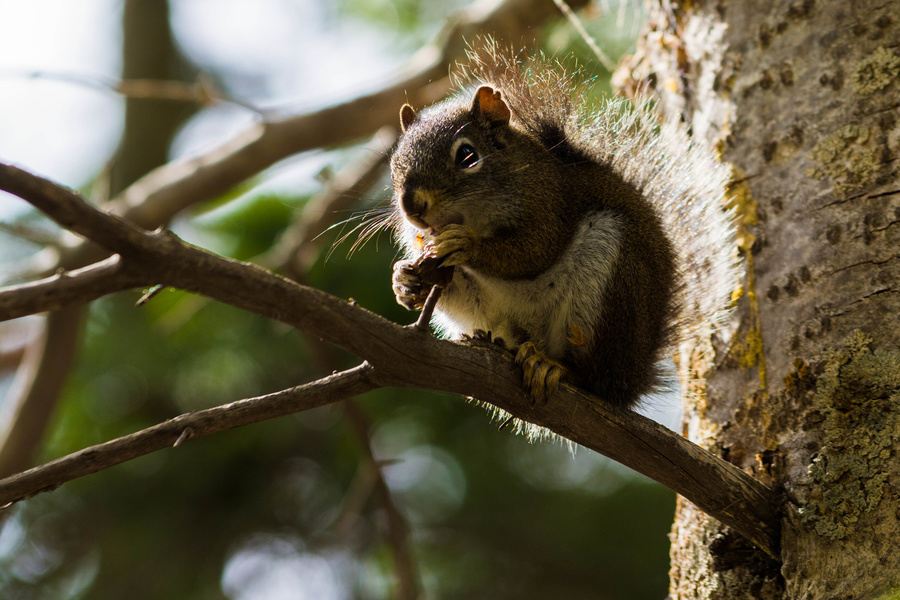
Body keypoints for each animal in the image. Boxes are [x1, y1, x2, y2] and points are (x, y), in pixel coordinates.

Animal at [387, 43, 738, 417]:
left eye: (467, 155)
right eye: (394, 163)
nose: (412, 206)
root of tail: (632, 380)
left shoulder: (553, 205)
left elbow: (536, 252)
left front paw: (467, 245)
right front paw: (405, 279)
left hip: (610, 282)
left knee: (593, 377)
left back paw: (555, 368)